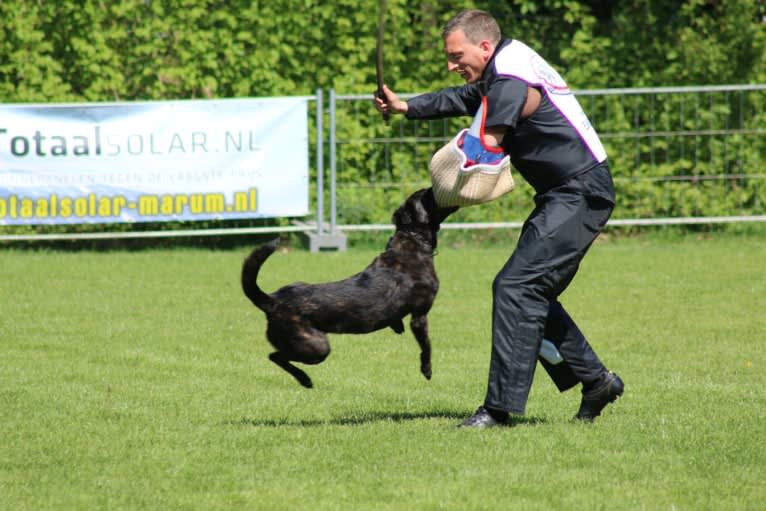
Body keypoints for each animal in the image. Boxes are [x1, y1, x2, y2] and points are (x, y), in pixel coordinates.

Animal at [243, 188, 456, 388]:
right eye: (428, 194)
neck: (412, 240)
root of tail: (272, 300)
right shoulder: (419, 316)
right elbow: (426, 346)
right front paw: (427, 370)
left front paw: (397, 326)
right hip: (317, 346)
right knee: (274, 356)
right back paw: (304, 379)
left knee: (275, 355)